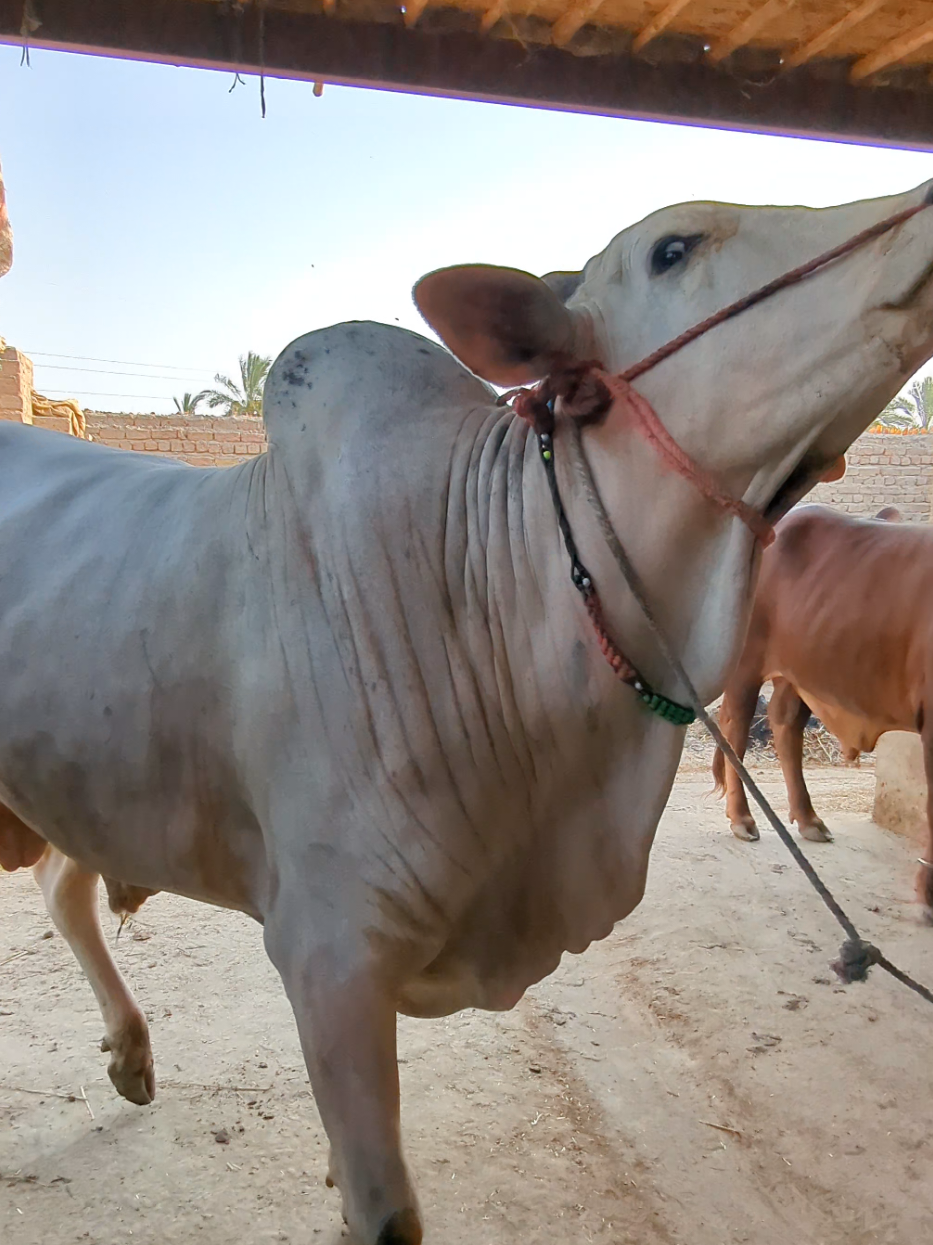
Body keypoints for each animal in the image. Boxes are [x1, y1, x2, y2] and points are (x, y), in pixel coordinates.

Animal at [712, 502, 933, 922]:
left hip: (798, 671)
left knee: (784, 723)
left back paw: (808, 818)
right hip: (747, 663)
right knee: (736, 728)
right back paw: (742, 818)